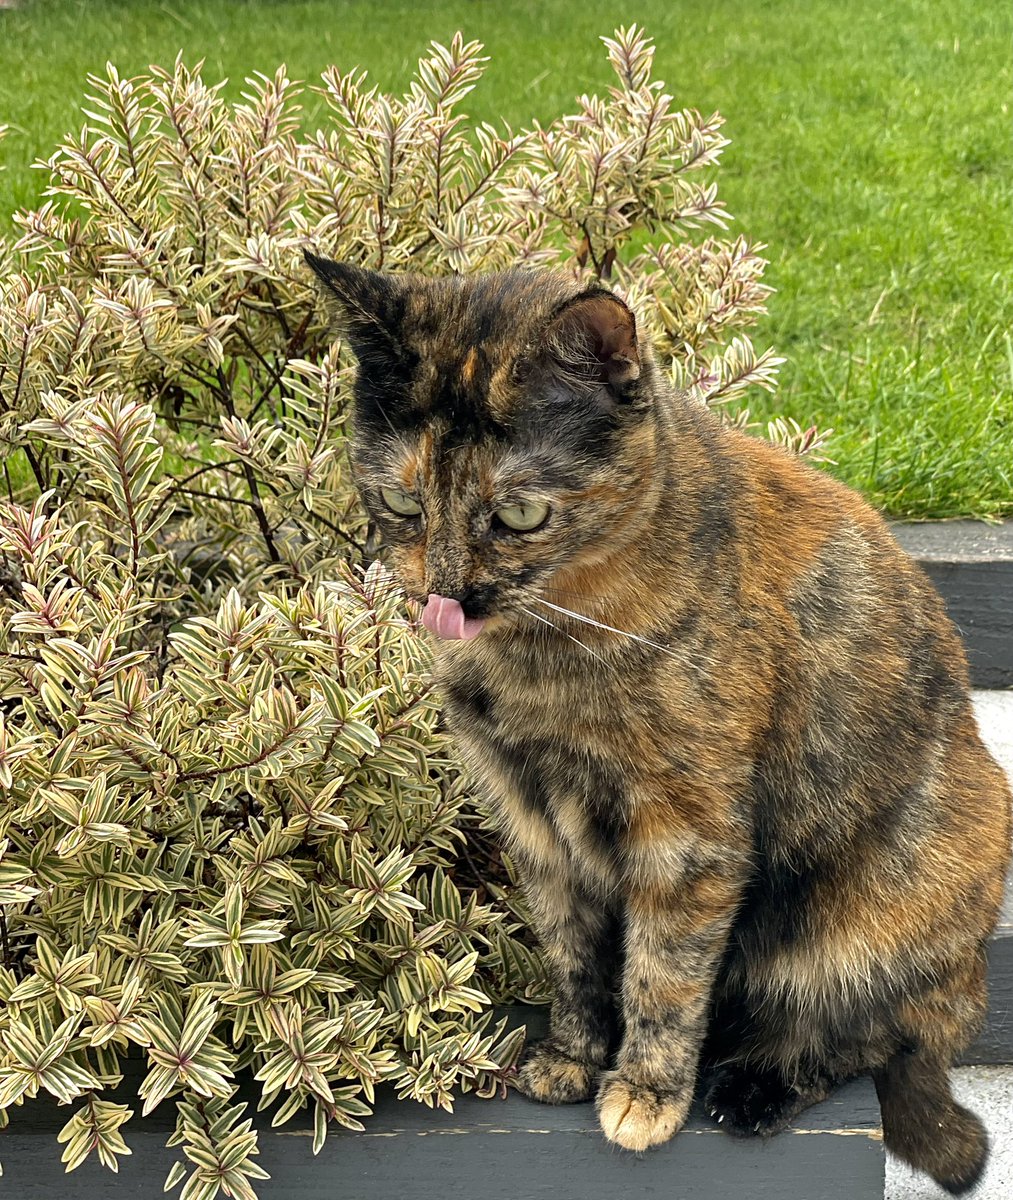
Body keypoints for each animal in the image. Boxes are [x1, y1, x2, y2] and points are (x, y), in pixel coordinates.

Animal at [309, 255, 1012, 1190]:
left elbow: (662, 975)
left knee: (865, 1037)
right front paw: (573, 1058)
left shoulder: (685, 835)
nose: (445, 594)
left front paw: (644, 1093)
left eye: (520, 513)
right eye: (402, 502)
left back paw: (753, 1087)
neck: (547, 655)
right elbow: (574, 957)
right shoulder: (534, 823)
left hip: (884, 906)